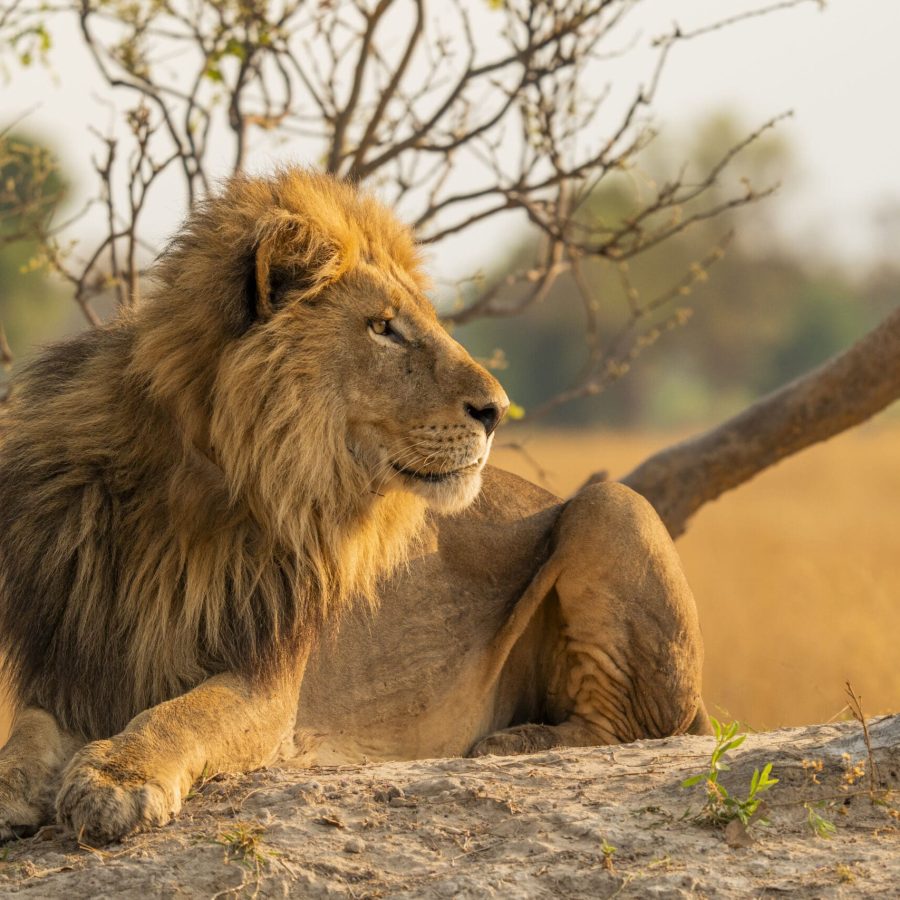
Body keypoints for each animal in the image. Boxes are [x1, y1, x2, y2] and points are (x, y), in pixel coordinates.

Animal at [0, 168, 509, 844]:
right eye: (382, 327)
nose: (497, 410)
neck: (197, 494)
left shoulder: (270, 684)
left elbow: (184, 714)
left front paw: (118, 776)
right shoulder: (74, 662)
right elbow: (26, 736)